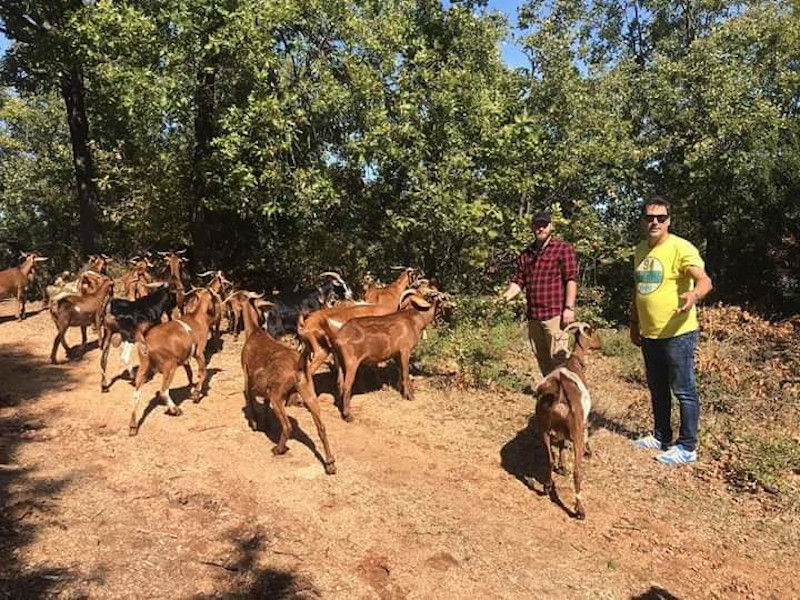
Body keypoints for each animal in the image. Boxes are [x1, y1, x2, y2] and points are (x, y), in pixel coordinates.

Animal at [128, 288, 216, 434]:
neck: (198, 318)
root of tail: (146, 338)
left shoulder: (185, 358)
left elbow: (190, 374)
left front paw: (191, 389)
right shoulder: (199, 352)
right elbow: (203, 373)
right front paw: (196, 395)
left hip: (144, 366)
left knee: (137, 393)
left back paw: (133, 426)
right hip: (169, 366)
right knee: (163, 391)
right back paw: (175, 409)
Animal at [239, 296, 336, 474]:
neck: (254, 332)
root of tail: (298, 365)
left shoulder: (247, 376)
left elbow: (250, 401)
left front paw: (255, 424)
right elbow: (264, 405)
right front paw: (266, 424)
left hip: (278, 396)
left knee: (287, 426)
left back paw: (278, 449)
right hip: (309, 394)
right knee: (321, 427)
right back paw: (330, 464)